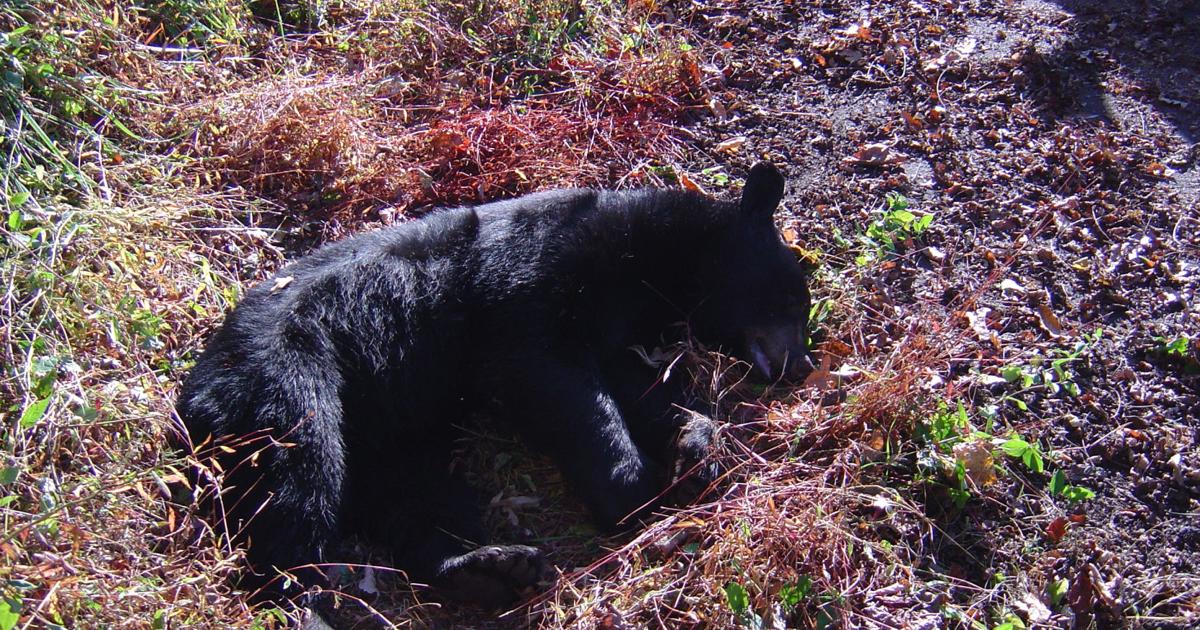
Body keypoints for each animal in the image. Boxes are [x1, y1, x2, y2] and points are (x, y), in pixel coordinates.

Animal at [176, 162, 813, 607]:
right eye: (792, 299)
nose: (802, 366)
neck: (640, 256)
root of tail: (194, 396)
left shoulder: (613, 331)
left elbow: (644, 387)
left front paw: (696, 447)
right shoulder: (525, 282)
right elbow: (553, 380)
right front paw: (632, 490)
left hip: (391, 435)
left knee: (418, 497)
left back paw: (490, 569)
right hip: (287, 377)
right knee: (300, 470)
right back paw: (299, 587)